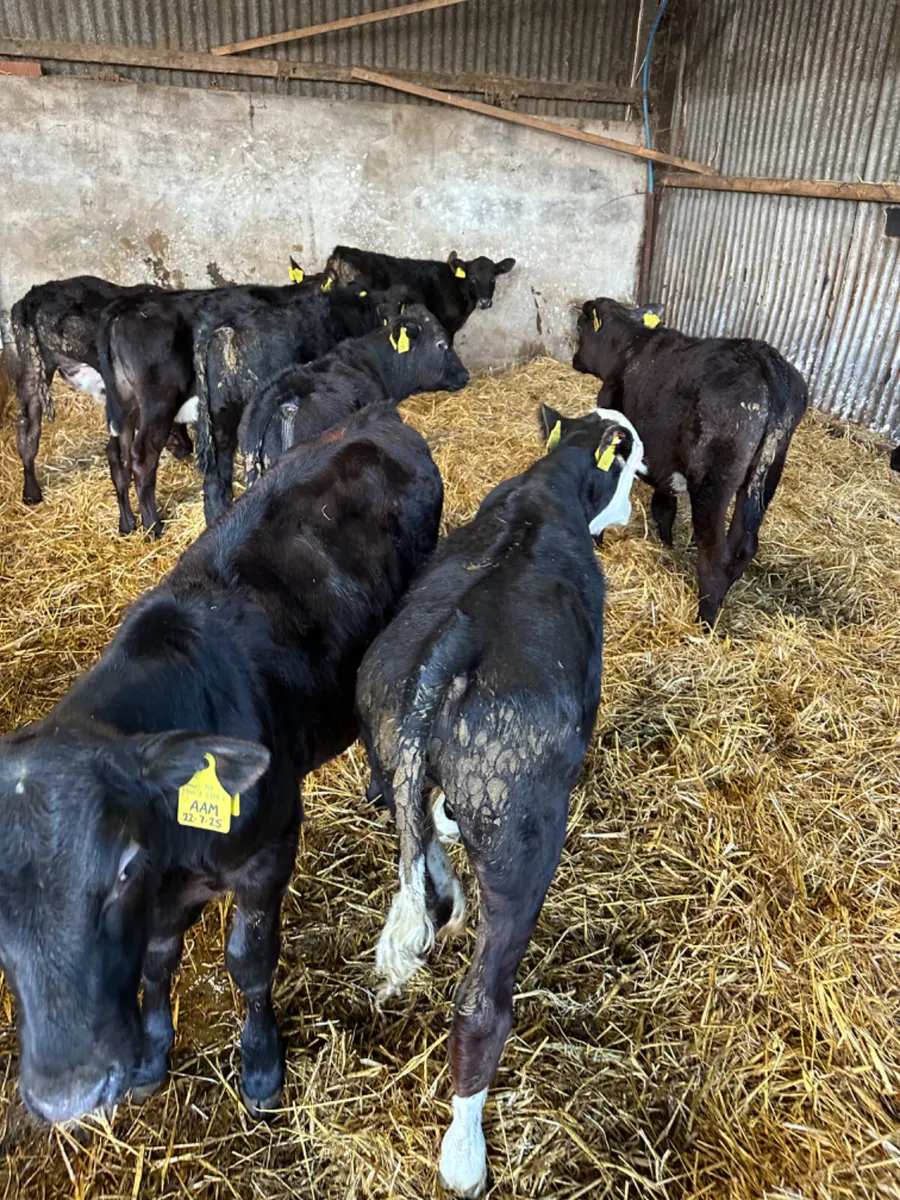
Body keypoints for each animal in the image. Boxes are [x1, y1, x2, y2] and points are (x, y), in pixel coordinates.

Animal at [0, 402, 443, 1126]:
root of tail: (377, 419)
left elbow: (249, 959)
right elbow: (156, 963)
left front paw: (261, 1064)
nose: (68, 1092)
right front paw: (153, 1054)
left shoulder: (270, 849)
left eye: (123, 866)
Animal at [98, 279, 368, 537]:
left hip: (129, 406)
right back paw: (152, 526)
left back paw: (128, 524)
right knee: (142, 457)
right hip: (158, 403)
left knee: (118, 455)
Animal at [356, 406, 643, 1198]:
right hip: (523, 837)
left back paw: (444, 893)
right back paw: (465, 1152)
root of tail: (452, 642)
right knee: (483, 1003)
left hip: (387, 748)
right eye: (632, 463)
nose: (635, 501)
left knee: (417, 856)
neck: (548, 487)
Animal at [573, 297, 809, 625]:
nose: (575, 360)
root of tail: (766, 362)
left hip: (712, 484)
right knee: (745, 544)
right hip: (767, 475)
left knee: (715, 555)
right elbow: (664, 506)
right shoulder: (664, 462)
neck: (629, 344)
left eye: (580, 325)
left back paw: (704, 621)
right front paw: (667, 544)